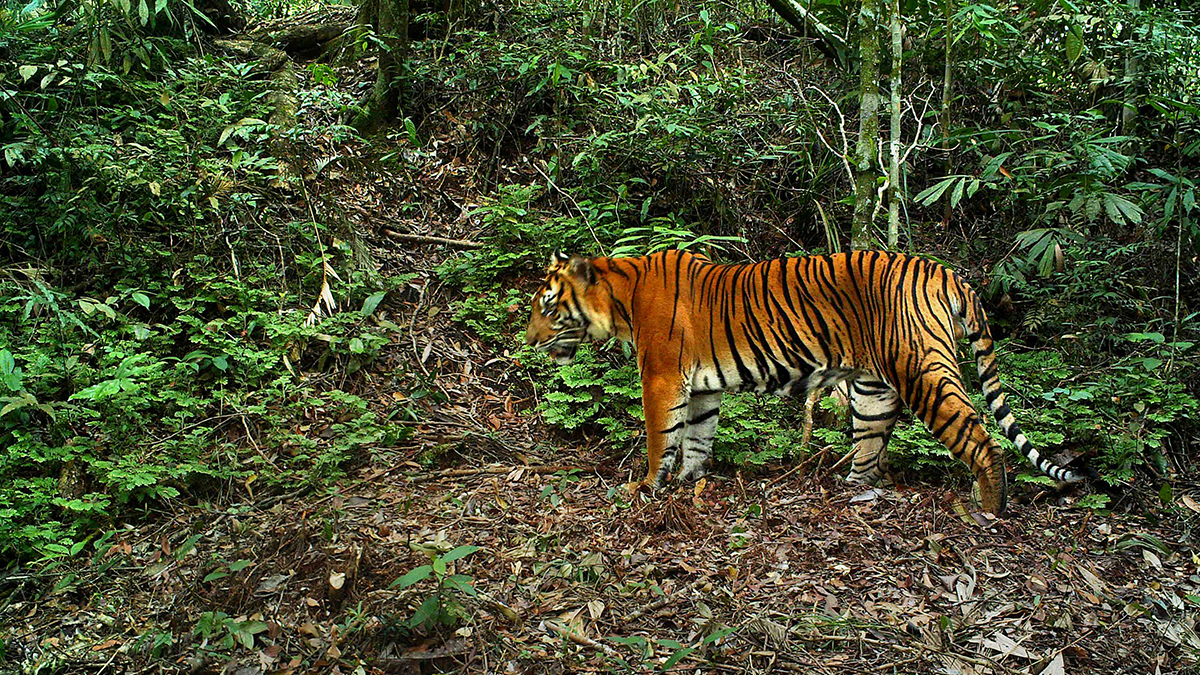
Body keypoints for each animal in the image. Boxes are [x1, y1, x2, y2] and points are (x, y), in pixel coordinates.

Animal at [525, 249, 1099, 511]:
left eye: (548, 308)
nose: (526, 341)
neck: (620, 297)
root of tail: (945, 271)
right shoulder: (703, 387)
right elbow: (697, 437)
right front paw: (692, 480)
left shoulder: (663, 376)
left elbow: (658, 436)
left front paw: (646, 487)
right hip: (873, 390)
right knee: (871, 449)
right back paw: (852, 491)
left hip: (924, 371)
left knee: (982, 440)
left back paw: (986, 509)